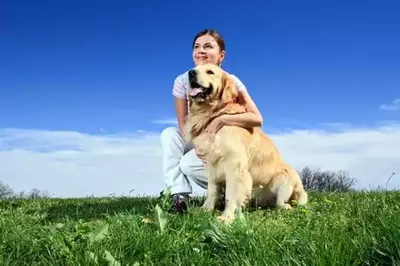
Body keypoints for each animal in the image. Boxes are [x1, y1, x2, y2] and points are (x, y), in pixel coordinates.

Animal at [185, 63, 310, 223]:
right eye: (195, 68)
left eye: (210, 71)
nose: (191, 73)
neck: (212, 113)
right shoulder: (212, 164)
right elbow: (212, 190)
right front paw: (205, 209)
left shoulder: (235, 163)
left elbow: (231, 194)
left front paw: (227, 217)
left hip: (283, 179)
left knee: (282, 202)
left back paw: (284, 206)